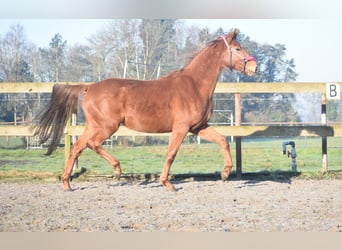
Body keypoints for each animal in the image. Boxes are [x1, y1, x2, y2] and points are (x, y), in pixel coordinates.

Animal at [34, 28, 256, 190]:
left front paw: (225, 173)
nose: (254, 68)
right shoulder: (181, 128)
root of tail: (90, 87)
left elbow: (223, 141)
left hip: (94, 125)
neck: (194, 85)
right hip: (107, 127)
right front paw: (167, 183)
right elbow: (171, 153)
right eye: (237, 49)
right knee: (91, 144)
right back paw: (117, 170)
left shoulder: (198, 127)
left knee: (78, 148)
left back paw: (67, 183)